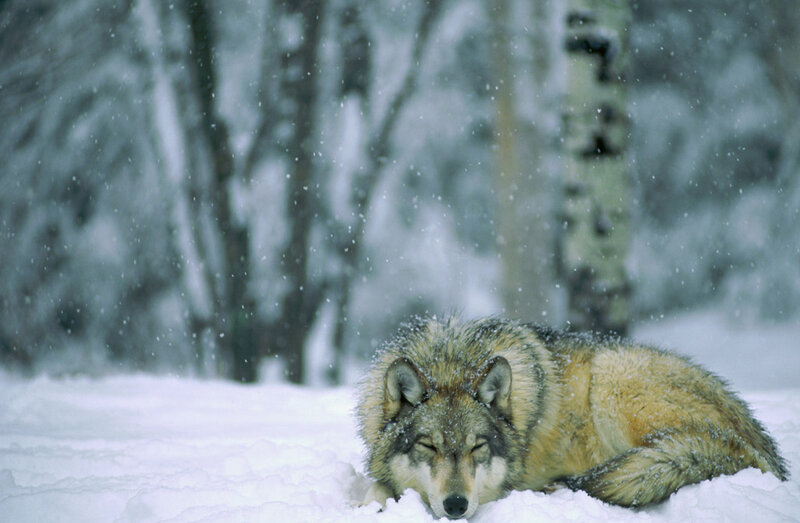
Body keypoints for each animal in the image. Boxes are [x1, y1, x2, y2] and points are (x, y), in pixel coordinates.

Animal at [356, 317, 788, 519]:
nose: (457, 505)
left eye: (477, 447)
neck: (450, 362)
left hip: (612, 379)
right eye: (429, 446)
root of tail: (763, 450)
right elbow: (375, 487)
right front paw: (372, 507)